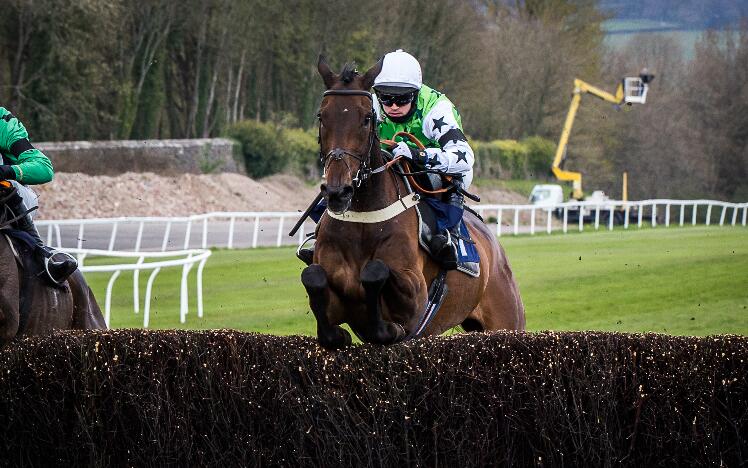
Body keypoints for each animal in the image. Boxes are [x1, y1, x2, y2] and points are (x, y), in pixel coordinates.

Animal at [300, 56, 524, 350]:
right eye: (322, 116)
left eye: (366, 118)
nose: (338, 191)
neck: (364, 222)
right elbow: (313, 279)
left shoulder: (415, 300)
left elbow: (375, 272)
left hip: (507, 320)